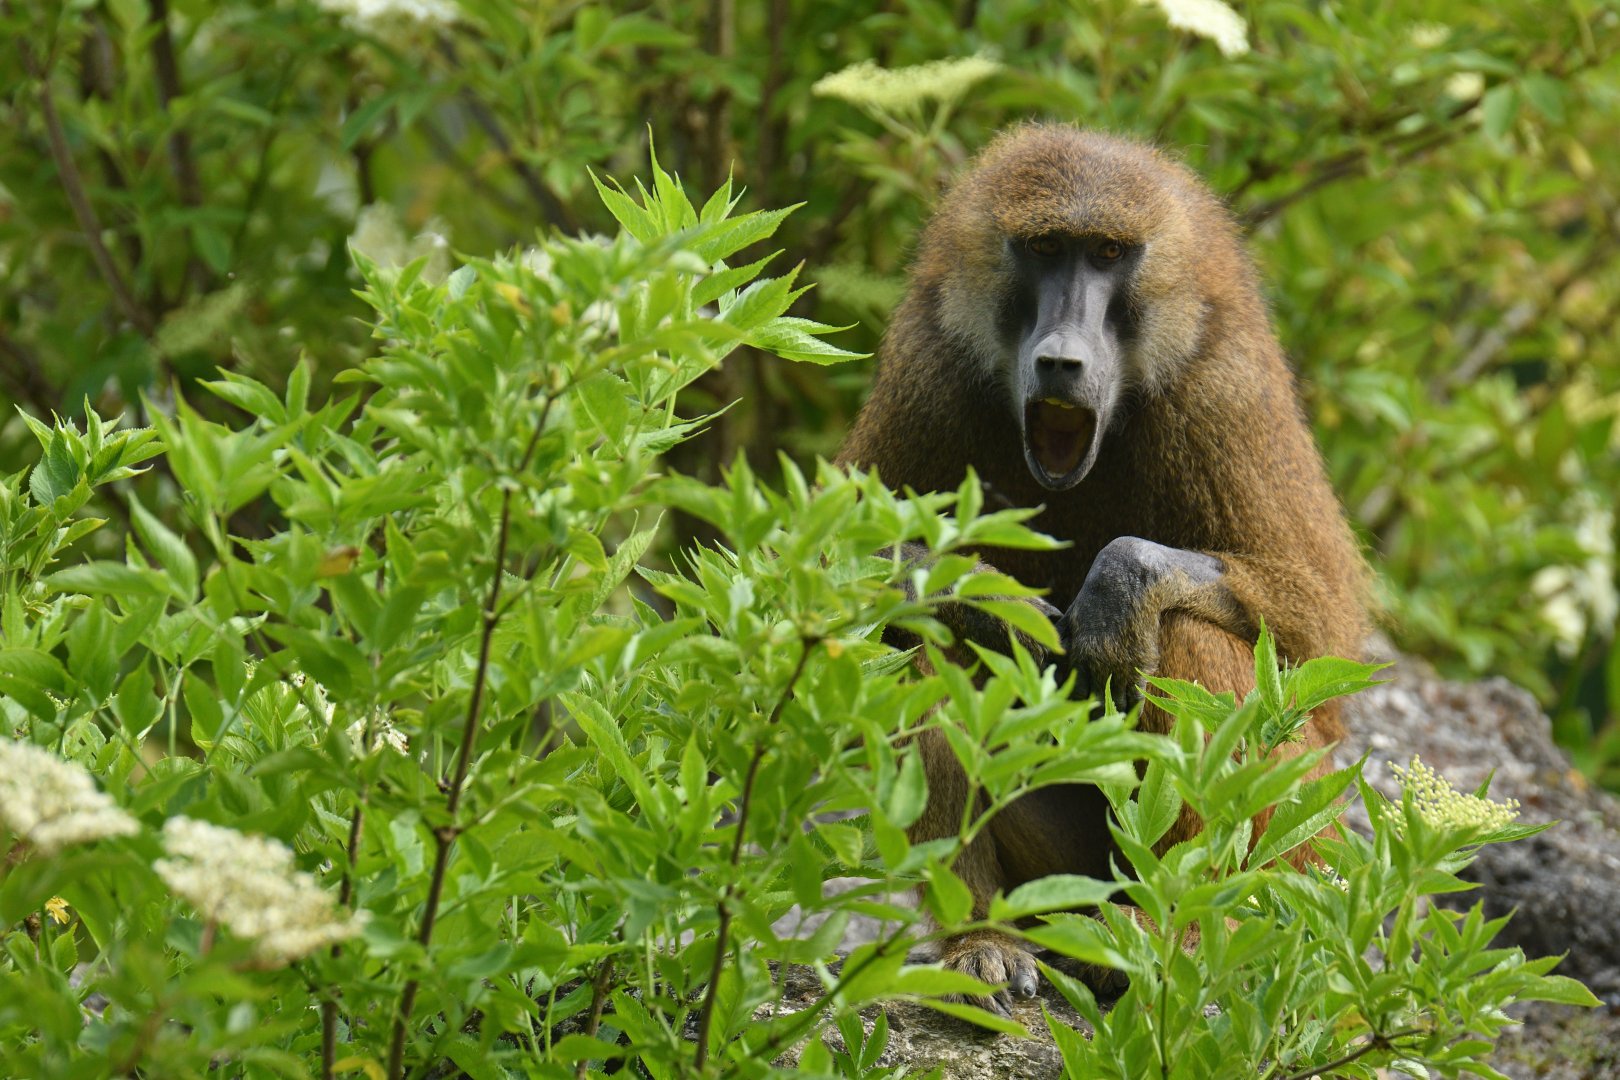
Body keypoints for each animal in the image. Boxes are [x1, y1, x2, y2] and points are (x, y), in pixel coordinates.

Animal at [835, 125, 1370, 1016]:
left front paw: (1120, 585)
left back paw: (1180, 931)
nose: (1060, 362)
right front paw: (993, 604)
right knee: (916, 636)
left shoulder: (1224, 389)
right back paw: (983, 943)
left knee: (1185, 633)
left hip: (1303, 852)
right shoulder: (930, 365)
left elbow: (1321, 626)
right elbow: (830, 565)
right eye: (1047, 249)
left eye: (1110, 254)